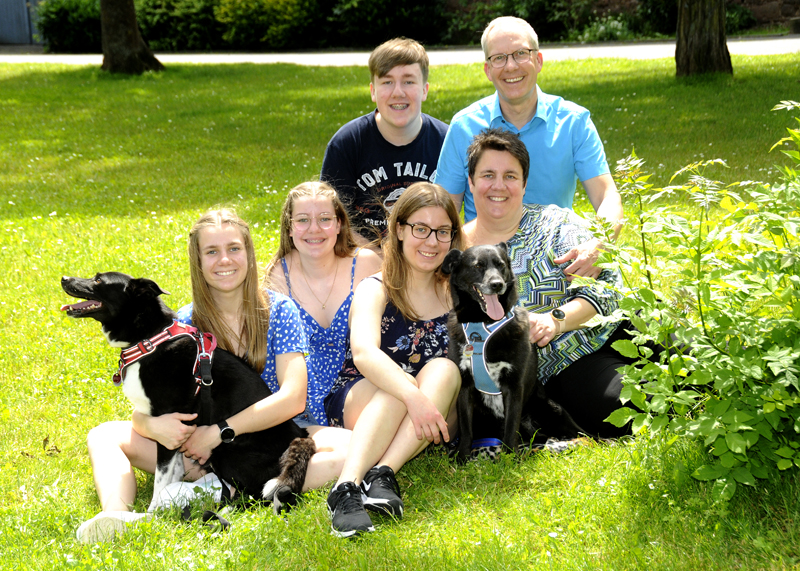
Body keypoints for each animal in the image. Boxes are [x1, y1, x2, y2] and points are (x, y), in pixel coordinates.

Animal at [61, 271, 315, 514]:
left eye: (98, 280)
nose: (63, 278)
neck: (150, 341)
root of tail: (300, 436)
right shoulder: (171, 433)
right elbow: (173, 473)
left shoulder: (169, 426)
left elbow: (161, 479)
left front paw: (152, 514)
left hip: (224, 451)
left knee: (255, 494)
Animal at [441, 243, 584, 462]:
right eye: (478, 266)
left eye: (501, 265)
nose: (497, 285)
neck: (484, 324)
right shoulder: (465, 386)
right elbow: (466, 429)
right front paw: (462, 456)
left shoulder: (514, 386)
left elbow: (510, 426)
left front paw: (510, 460)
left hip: (552, 409)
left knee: (587, 435)